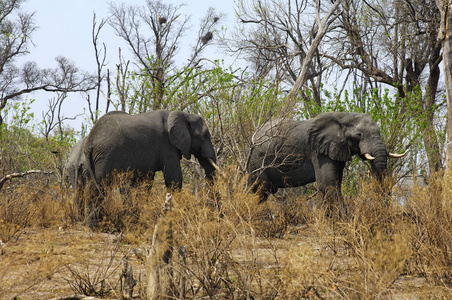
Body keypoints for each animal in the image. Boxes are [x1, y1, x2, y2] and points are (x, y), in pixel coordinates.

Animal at [84, 109, 220, 190]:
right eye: (205, 135)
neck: (183, 114)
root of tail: (90, 140)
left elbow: (147, 181)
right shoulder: (167, 146)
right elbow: (174, 179)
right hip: (106, 155)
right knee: (103, 184)